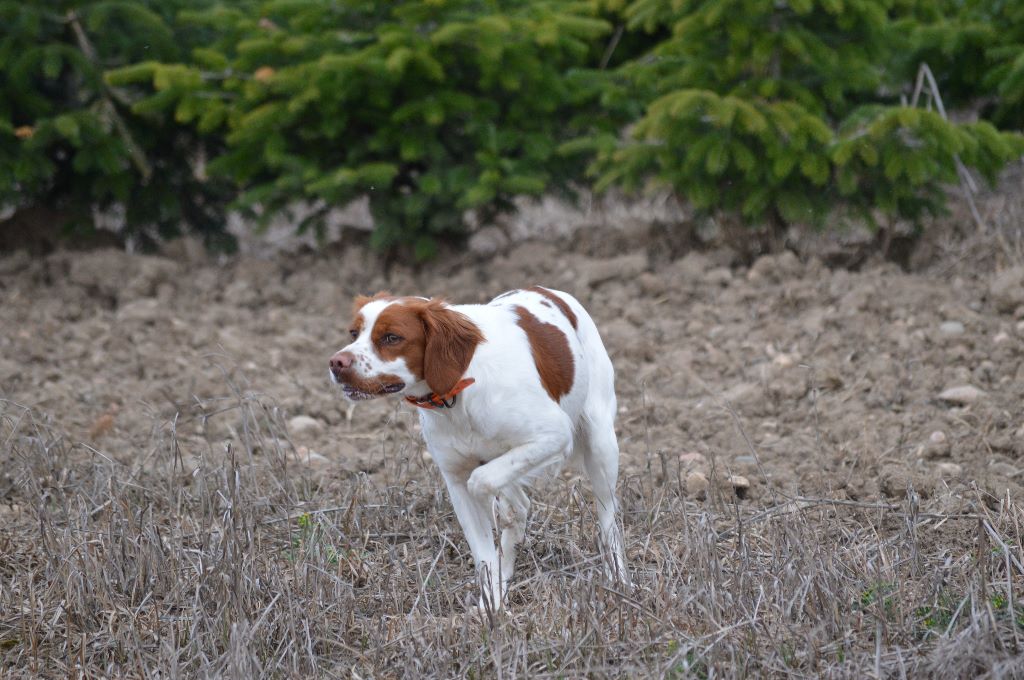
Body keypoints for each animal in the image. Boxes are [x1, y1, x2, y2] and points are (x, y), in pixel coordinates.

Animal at [331, 284, 626, 606]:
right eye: (353, 333)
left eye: (391, 337)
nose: (336, 362)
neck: (458, 389)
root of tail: (548, 290)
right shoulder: (456, 479)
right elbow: (484, 553)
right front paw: (492, 606)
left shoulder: (554, 434)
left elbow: (482, 481)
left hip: (600, 443)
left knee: (608, 520)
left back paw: (619, 580)